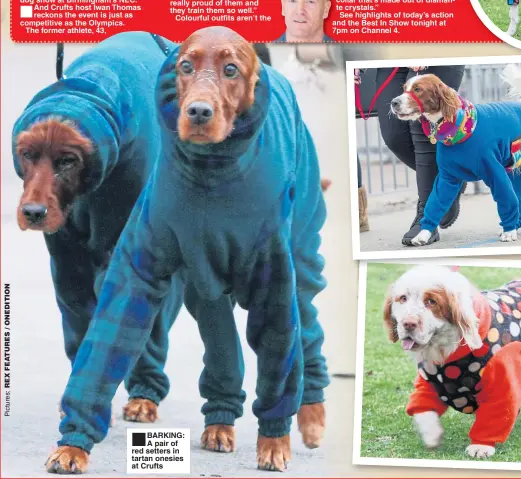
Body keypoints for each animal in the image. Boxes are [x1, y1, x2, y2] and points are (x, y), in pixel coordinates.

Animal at [382, 264, 520, 460]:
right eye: (403, 298)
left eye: (431, 301)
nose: (408, 324)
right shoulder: (430, 379)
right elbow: (423, 409)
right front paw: (432, 436)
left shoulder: (502, 384)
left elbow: (494, 417)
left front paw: (481, 446)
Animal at [390, 64, 521, 248]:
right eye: (404, 88)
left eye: (418, 89)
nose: (394, 102)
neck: (460, 129)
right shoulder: (447, 177)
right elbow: (435, 203)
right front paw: (423, 234)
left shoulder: (495, 172)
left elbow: (506, 199)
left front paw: (509, 231)